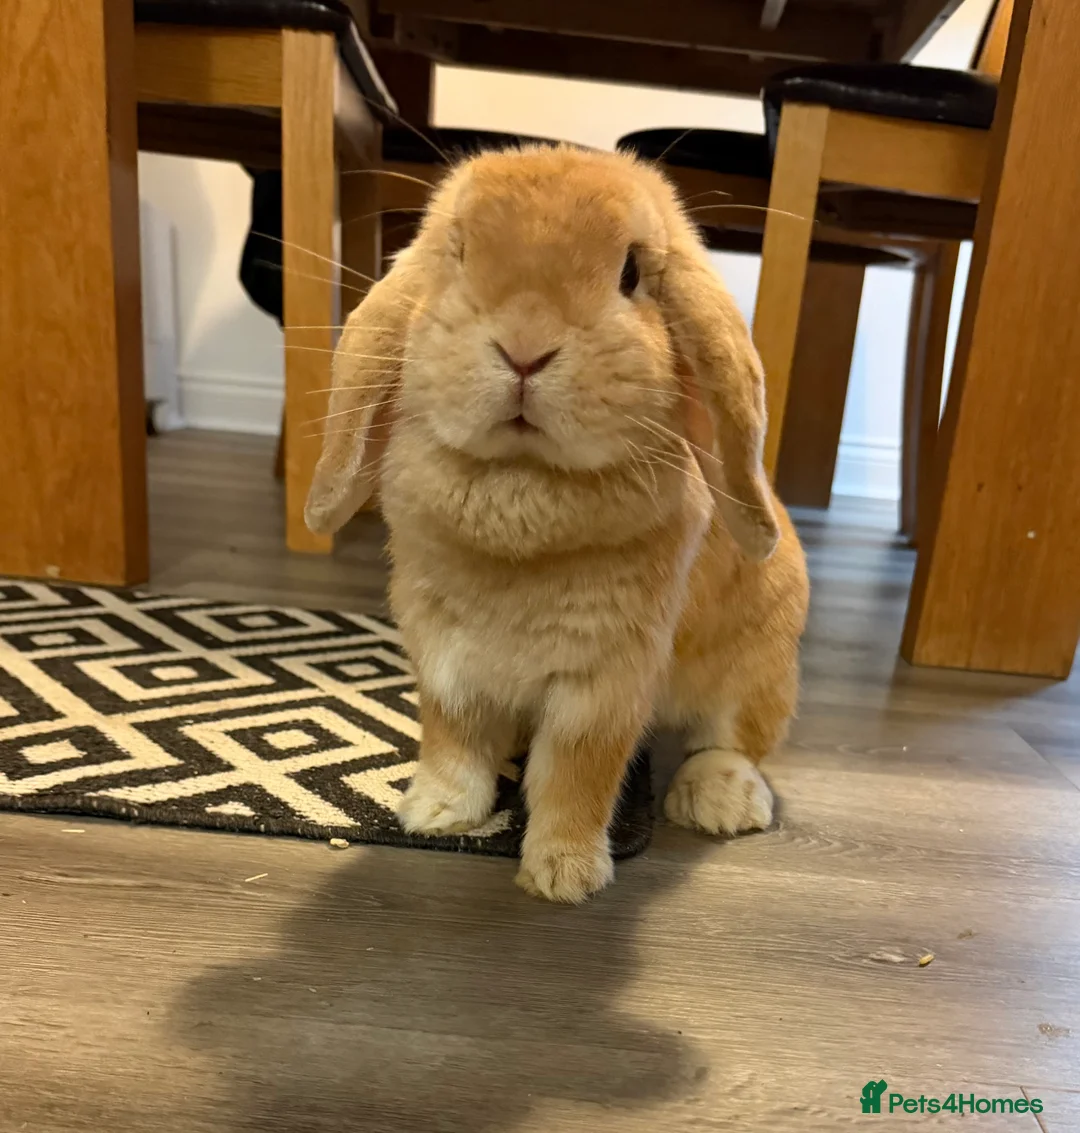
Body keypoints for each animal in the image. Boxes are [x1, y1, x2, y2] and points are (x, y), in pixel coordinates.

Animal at [304, 145, 809, 904]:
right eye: (458, 253)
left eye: (632, 273)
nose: (525, 349)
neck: (523, 484)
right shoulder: (442, 653)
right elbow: (453, 737)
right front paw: (434, 812)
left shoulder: (605, 677)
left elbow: (578, 771)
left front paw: (563, 874)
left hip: (759, 666)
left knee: (732, 739)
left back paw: (718, 801)